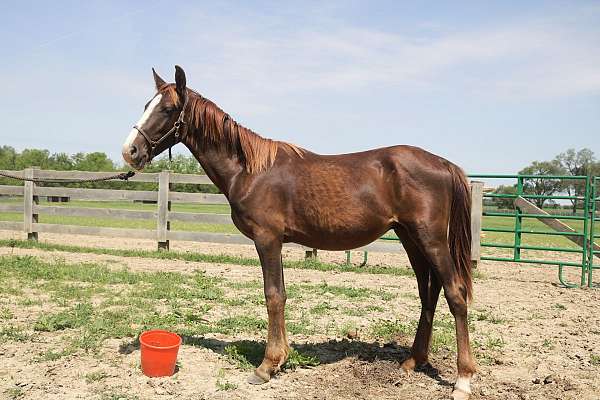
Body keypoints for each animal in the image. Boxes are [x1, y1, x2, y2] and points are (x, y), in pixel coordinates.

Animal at [122, 66, 476, 400]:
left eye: (168, 108)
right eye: (146, 104)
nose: (131, 151)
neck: (250, 169)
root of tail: (445, 164)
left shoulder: (266, 239)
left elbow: (272, 296)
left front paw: (266, 366)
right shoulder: (276, 241)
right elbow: (281, 295)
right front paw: (281, 358)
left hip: (430, 240)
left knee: (455, 294)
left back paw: (462, 380)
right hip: (410, 239)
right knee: (429, 294)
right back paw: (413, 361)